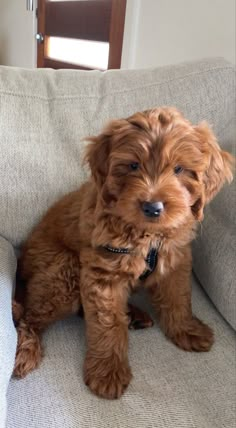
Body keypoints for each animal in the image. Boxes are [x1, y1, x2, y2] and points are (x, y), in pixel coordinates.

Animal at [13, 107, 234, 398]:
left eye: (179, 169)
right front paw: (107, 372)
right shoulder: (103, 271)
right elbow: (107, 323)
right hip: (63, 270)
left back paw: (135, 315)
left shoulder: (176, 261)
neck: (147, 234)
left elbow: (178, 298)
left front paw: (186, 329)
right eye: (133, 166)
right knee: (29, 315)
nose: (153, 207)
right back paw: (27, 348)